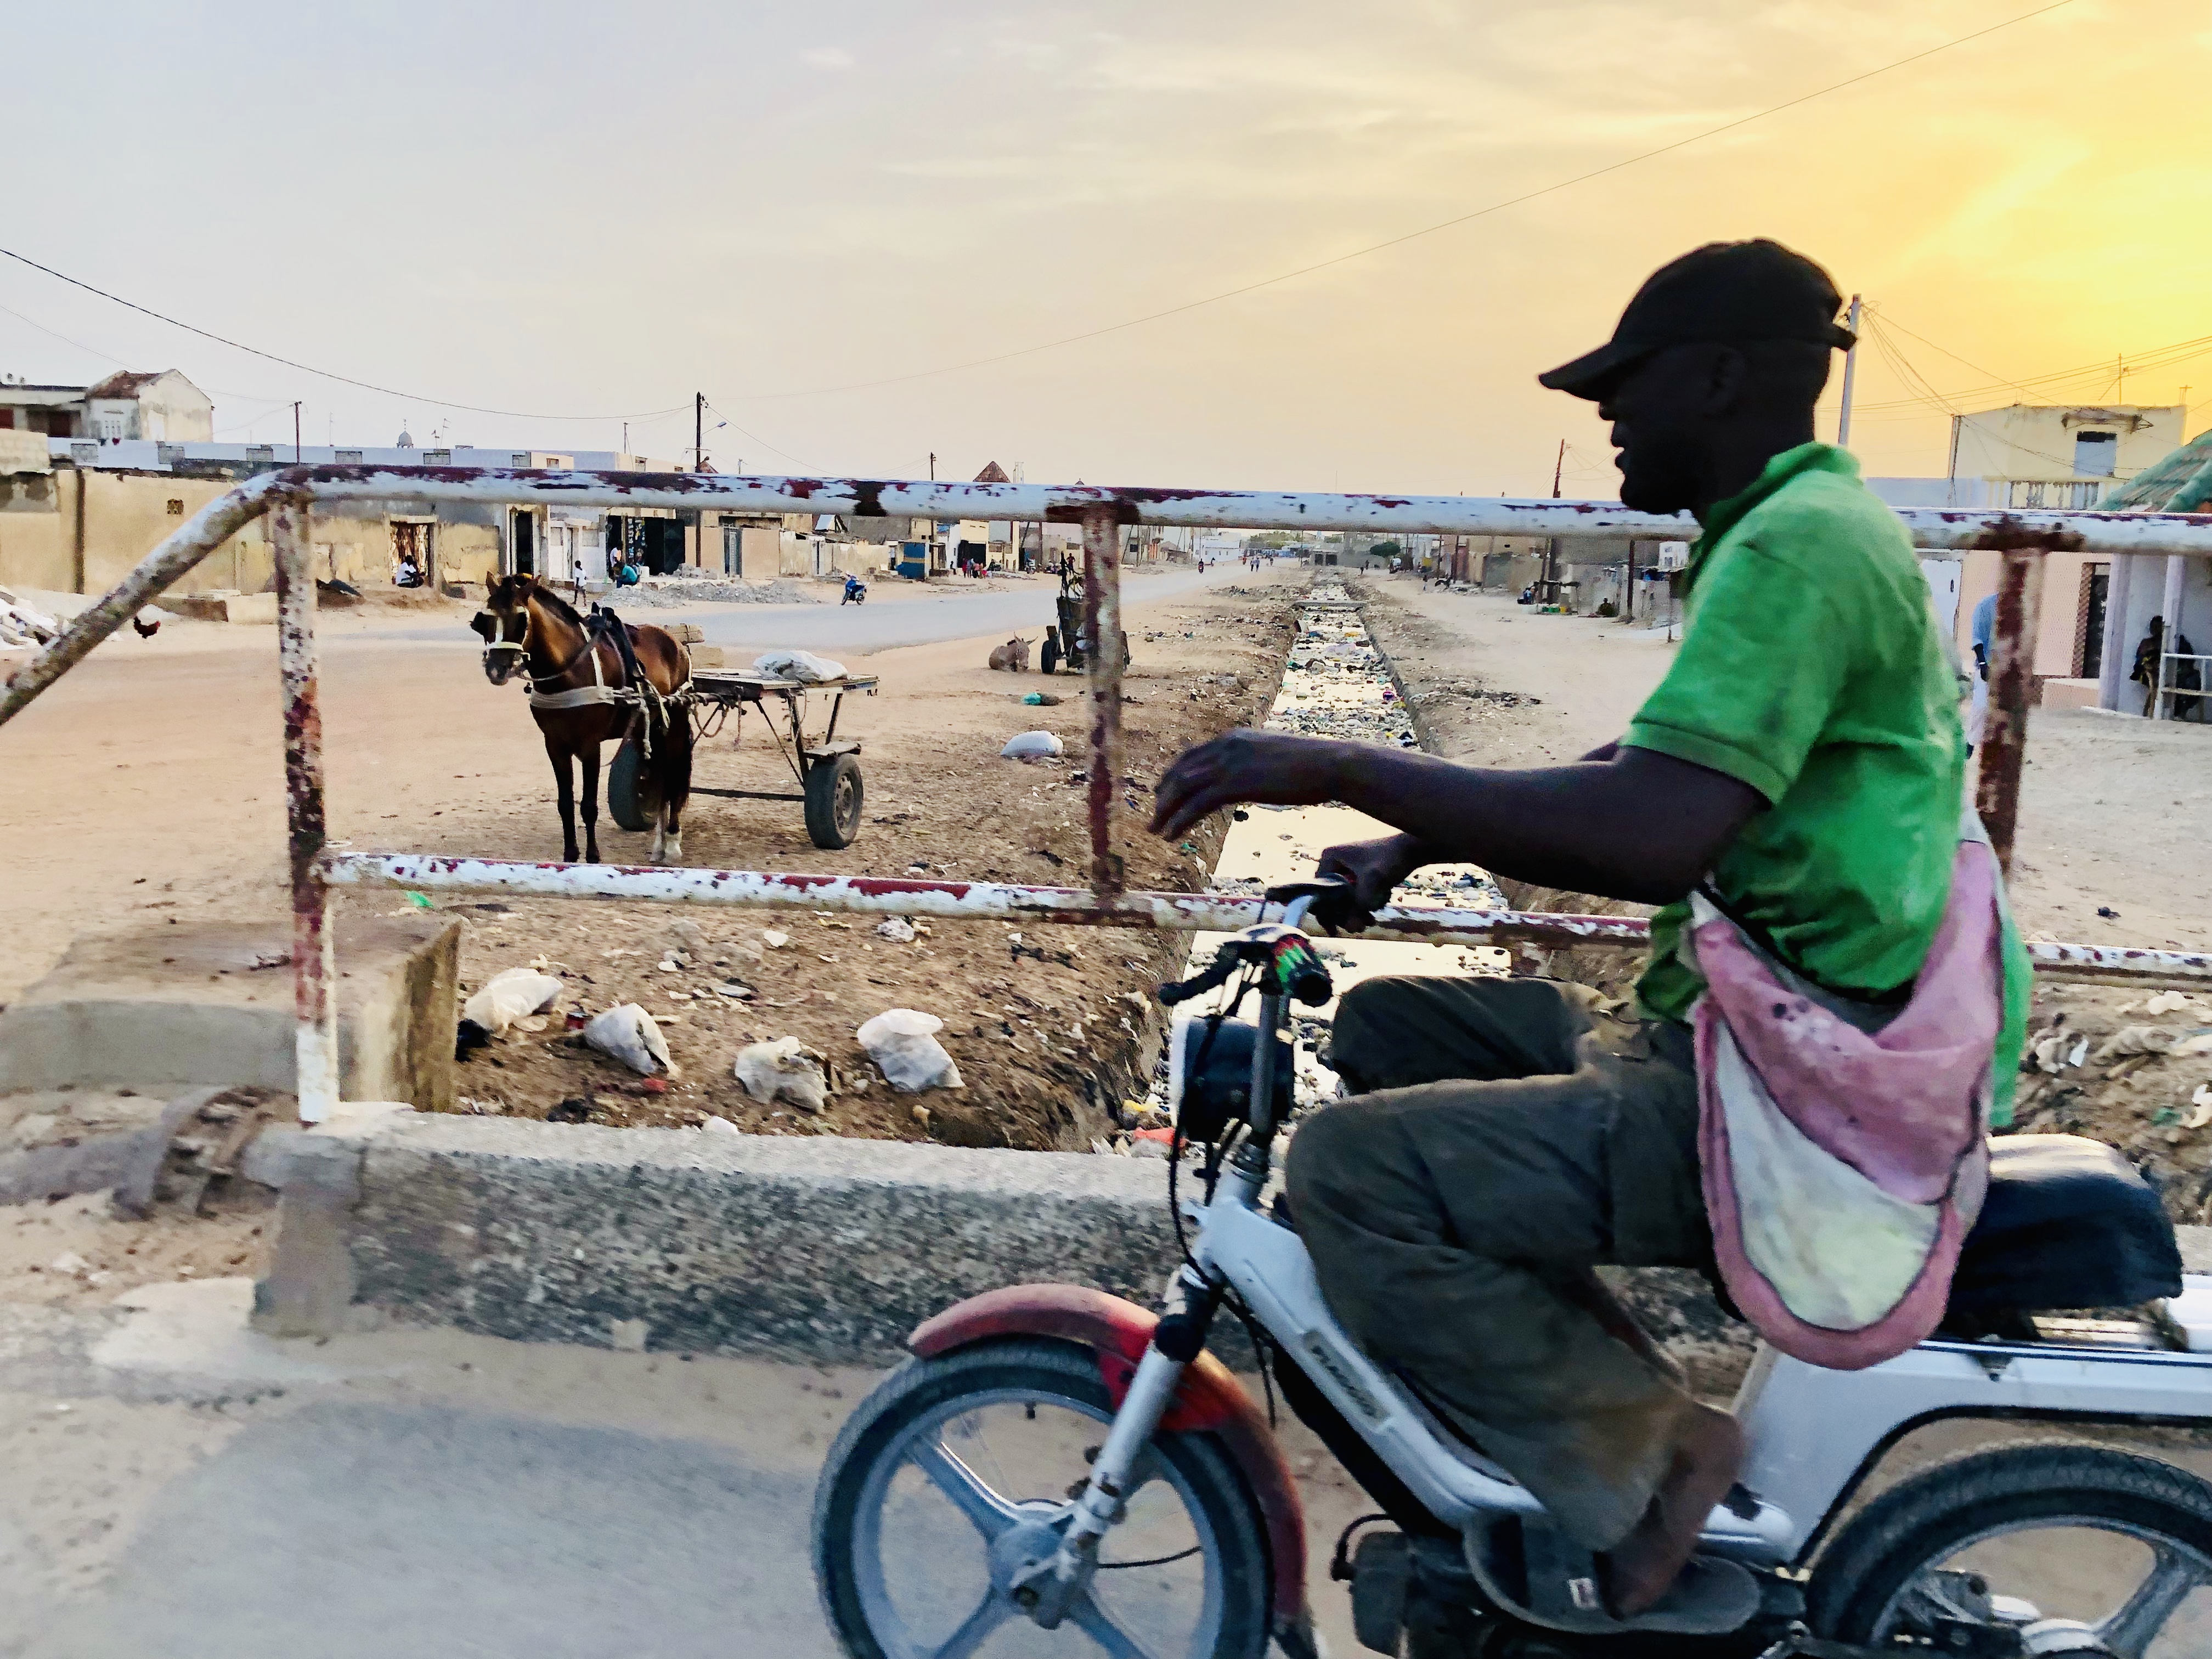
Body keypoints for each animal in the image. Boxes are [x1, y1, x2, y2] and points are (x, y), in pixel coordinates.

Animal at [473, 571, 690, 862]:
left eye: (521, 621)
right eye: (484, 620)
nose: (496, 670)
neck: (568, 671)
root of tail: (673, 640)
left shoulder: (590, 747)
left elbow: (588, 806)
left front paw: (593, 856)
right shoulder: (555, 746)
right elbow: (565, 804)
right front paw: (570, 855)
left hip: (675, 723)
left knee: (673, 774)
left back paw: (673, 841)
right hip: (649, 726)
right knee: (659, 774)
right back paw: (659, 845)